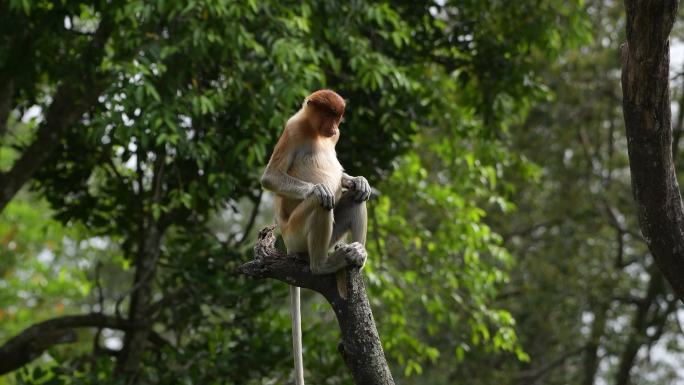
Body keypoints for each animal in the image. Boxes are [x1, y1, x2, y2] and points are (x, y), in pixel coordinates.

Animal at [260, 89, 368, 384]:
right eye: (327, 114)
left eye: (337, 117)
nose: (333, 127)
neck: (315, 131)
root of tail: (288, 245)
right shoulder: (292, 129)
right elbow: (270, 178)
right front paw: (318, 189)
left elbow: (349, 184)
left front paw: (358, 180)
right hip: (297, 232)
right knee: (323, 204)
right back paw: (322, 264)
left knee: (355, 200)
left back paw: (357, 252)